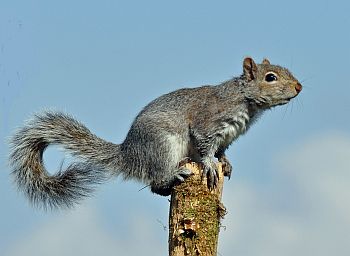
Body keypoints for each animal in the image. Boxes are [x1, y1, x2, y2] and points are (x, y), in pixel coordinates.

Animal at [10, 57, 300, 209]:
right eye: (270, 77)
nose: (299, 87)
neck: (245, 101)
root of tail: (129, 154)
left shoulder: (227, 137)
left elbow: (222, 151)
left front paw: (225, 163)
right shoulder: (208, 122)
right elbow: (205, 145)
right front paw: (209, 164)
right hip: (163, 146)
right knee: (155, 182)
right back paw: (175, 175)